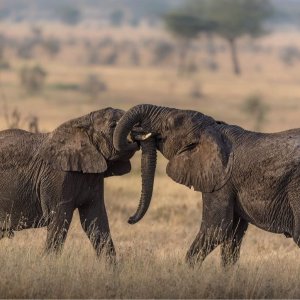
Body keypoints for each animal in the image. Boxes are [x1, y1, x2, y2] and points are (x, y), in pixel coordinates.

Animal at [0, 108, 136, 260]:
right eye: (113, 125)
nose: (135, 138)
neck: (82, 123)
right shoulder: (58, 176)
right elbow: (59, 219)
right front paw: (48, 263)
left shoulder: (93, 175)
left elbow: (95, 221)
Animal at [113, 103, 300, 268]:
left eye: (168, 125)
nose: (129, 219)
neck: (212, 129)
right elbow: (233, 235)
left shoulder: (221, 181)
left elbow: (216, 229)